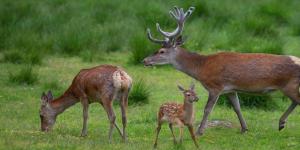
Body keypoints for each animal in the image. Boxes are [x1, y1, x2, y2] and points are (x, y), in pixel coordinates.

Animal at [142, 6, 300, 136]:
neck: (201, 67)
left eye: (161, 51)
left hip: (289, 85)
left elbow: (207, 109)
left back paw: (282, 123)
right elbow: (237, 107)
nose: (144, 60)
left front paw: (200, 131)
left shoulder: (215, 86)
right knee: (295, 101)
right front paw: (244, 128)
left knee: (297, 100)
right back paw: (281, 123)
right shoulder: (230, 89)